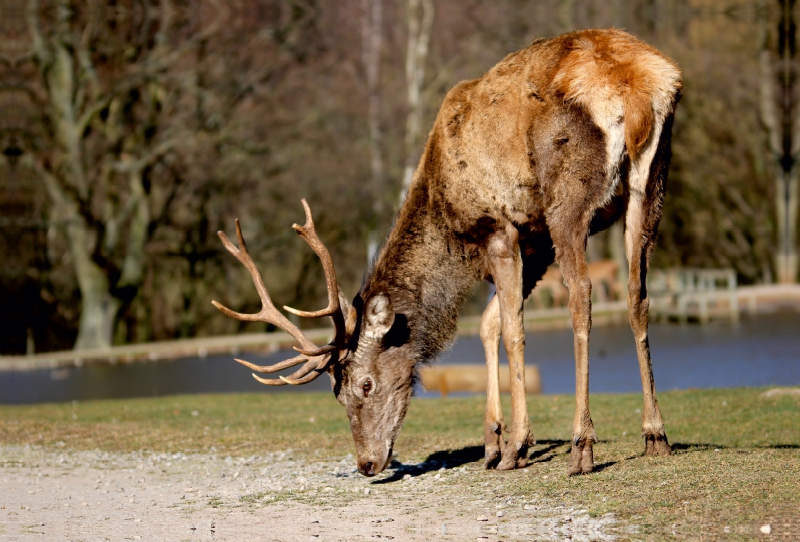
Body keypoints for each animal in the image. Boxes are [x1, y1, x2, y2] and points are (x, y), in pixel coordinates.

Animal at [212, 30, 680, 480]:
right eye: (337, 394)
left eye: (365, 384)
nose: (366, 464)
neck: (450, 231)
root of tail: (639, 88)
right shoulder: (535, 241)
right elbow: (489, 325)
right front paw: (491, 443)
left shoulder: (499, 228)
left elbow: (511, 329)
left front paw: (517, 446)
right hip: (650, 185)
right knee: (637, 294)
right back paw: (655, 434)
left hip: (568, 195)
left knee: (581, 294)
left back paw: (582, 445)